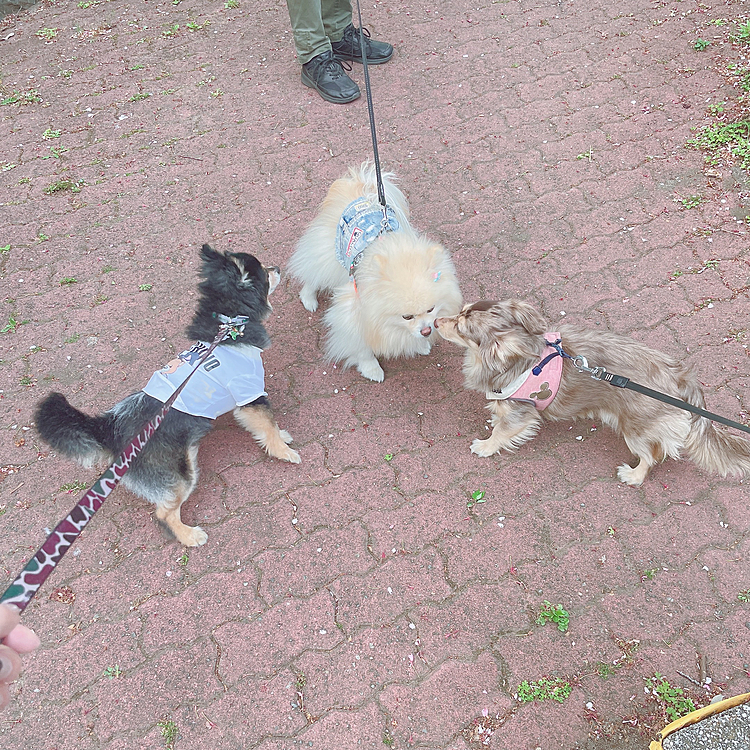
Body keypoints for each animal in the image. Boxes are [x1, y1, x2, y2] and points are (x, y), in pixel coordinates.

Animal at [35, 245, 300, 548]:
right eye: (265, 273)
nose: (277, 267)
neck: (229, 324)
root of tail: (110, 428)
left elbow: (271, 427)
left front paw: (283, 438)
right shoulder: (250, 395)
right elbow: (268, 425)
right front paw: (284, 452)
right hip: (180, 475)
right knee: (163, 513)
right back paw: (189, 535)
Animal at [290, 159, 462, 382]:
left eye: (431, 309)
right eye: (407, 316)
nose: (426, 330)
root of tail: (364, 189)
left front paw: (420, 344)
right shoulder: (354, 314)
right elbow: (361, 346)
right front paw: (371, 368)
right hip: (329, 255)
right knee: (313, 274)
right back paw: (309, 298)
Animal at [434, 300, 750, 488]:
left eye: (461, 328)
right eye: (460, 311)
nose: (435, 322)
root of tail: (680, 376)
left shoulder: (520, 413)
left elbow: (502, 431)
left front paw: (486, 445)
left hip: (634, 430)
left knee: (651, 456)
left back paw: (633, 475)